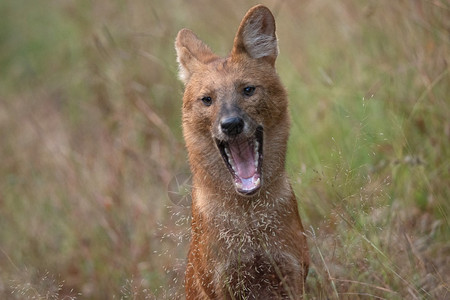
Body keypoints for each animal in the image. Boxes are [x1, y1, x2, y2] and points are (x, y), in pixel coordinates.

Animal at [176, 5, 310, 300]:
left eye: (248, 90)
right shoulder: (223, 282)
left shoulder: (292, 271)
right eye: (207, 99)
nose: (231, 124)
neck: (249, 219)